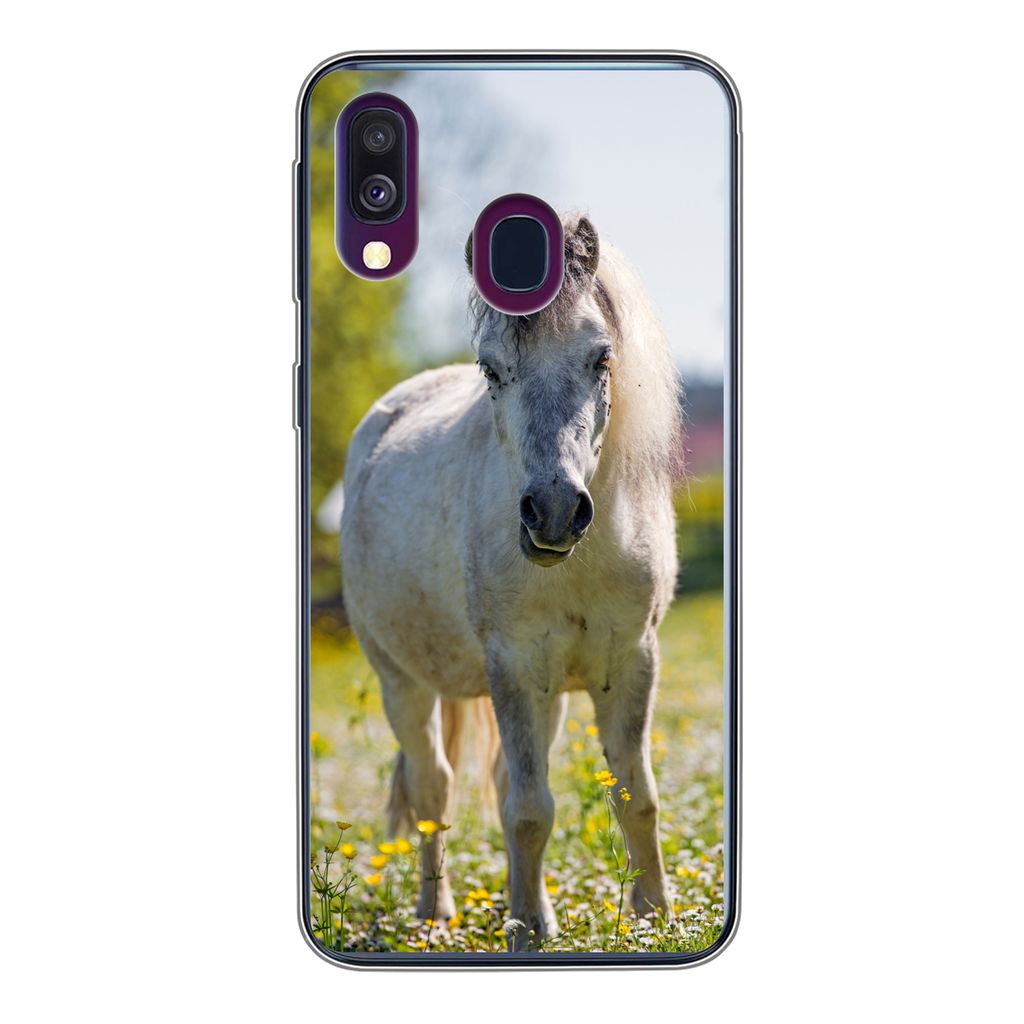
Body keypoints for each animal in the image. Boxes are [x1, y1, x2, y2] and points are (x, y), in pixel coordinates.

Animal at [339, 215, 683, 949]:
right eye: (491, 368)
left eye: (601, 358)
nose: (553, 511)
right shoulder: (515, 670)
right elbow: (530, 810)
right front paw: (526, 931)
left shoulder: (630, 663)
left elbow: (635, 796)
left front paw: (656, 917)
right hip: (403, 684)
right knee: (434, 788)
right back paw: (435, 914)